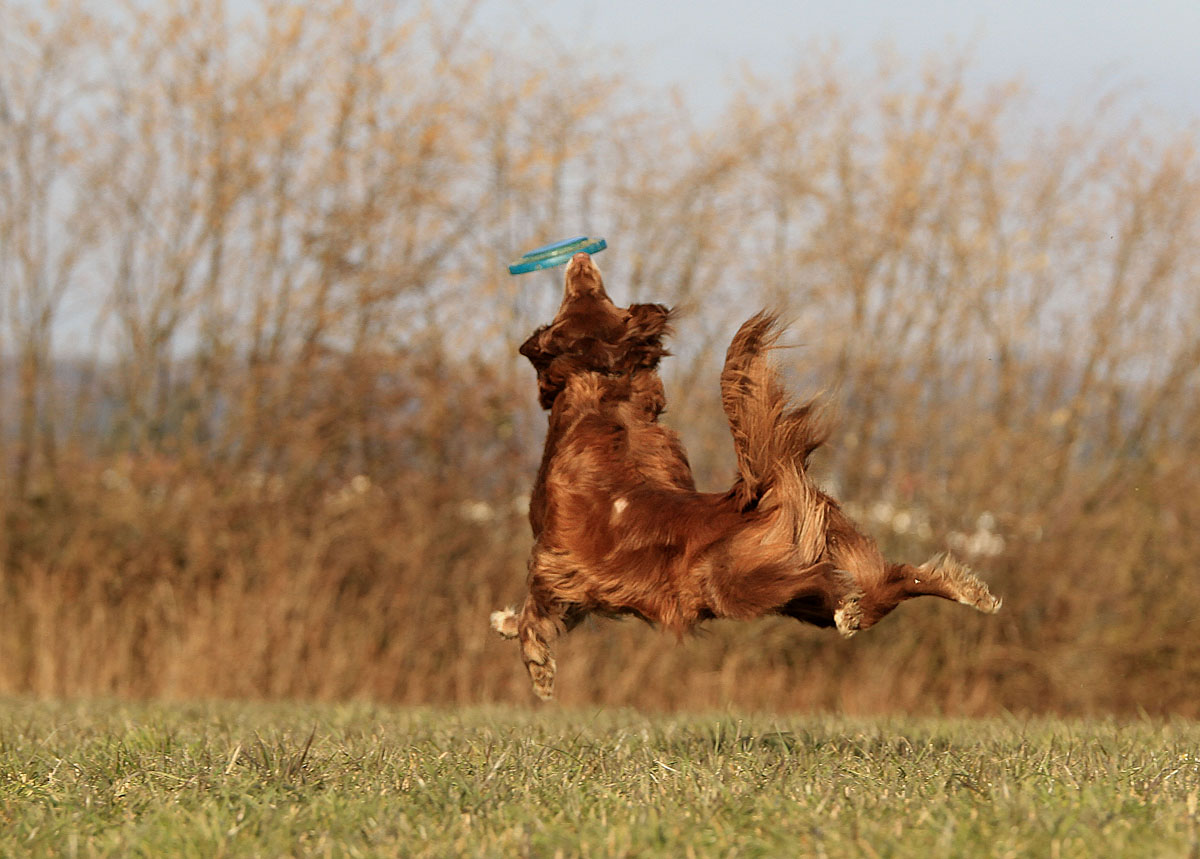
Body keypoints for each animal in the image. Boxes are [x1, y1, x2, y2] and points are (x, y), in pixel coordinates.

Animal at [492, 253, 998, 695]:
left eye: (580, 298)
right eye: (598, 296)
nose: (580, 258)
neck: (604, 394)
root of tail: (772, 490)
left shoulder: (556, 558)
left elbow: (536, 609)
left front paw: (535, 665)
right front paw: (508, 625)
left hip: (733, 583)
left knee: (828, 579)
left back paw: (852, 609)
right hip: (820, 582)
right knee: (897, 580)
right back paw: (967, 592)